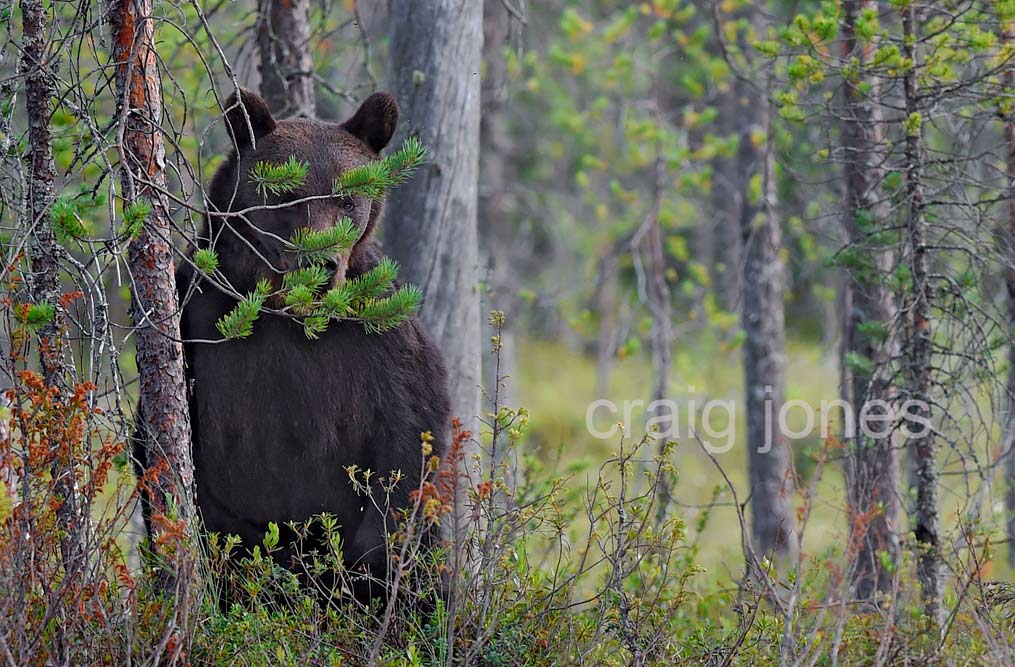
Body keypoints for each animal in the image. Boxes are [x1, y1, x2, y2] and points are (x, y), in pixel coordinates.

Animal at [135, 88, 450, 604]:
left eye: (347, 198)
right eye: (286, 193)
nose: (320, 264)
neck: (288, 314)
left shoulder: (382, 340)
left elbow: (412, 433)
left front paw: (370, 568)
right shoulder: (197, 322)